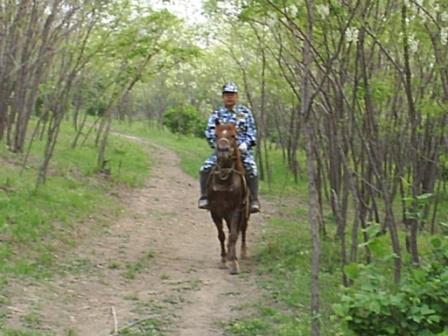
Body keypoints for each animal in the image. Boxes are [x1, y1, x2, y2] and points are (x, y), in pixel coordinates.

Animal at [207, 122, 250, 274]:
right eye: (215, 134)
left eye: (233, 136)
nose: (223, 150)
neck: (224, 181)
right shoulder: (215, 211)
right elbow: (222, 235)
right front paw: (224, 259)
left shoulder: (236, 210)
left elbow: (233, 235)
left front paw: (234, 263)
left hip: (245, 213)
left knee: (242, 230)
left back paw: (242, 253)